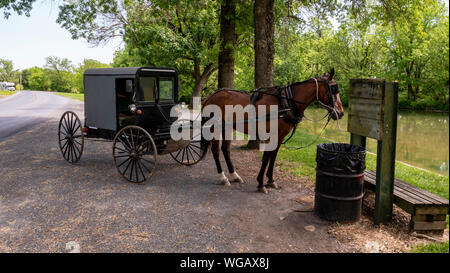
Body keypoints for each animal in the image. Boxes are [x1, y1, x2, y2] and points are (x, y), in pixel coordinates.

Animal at [201, 69, 344, 192]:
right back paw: (223, 177)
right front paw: (260, 183)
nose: (341, 113)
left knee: (225, 149)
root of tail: (211, 95)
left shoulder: (280, 136)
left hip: (227, 127)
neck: (284, 103)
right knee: (215, 150)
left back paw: (234, 175)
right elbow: (266, 157)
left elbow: (273, 156)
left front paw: (270, 180)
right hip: (215, 128)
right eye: (332, 90)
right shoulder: (271, 135)